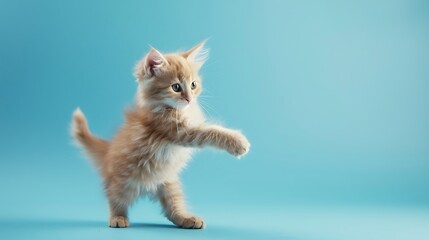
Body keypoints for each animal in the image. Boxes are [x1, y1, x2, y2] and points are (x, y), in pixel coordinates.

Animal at [70, 41, 249, 229]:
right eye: (176, 87)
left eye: (193, 85)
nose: (189, 99)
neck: (172, 109)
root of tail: (108, 150)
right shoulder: (180, 132)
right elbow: (210, 131)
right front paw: (239, 142)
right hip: (122, 183)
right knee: (114, 197)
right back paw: (117, 218)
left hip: (168, 183)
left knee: (172, 209)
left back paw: (186, 219)